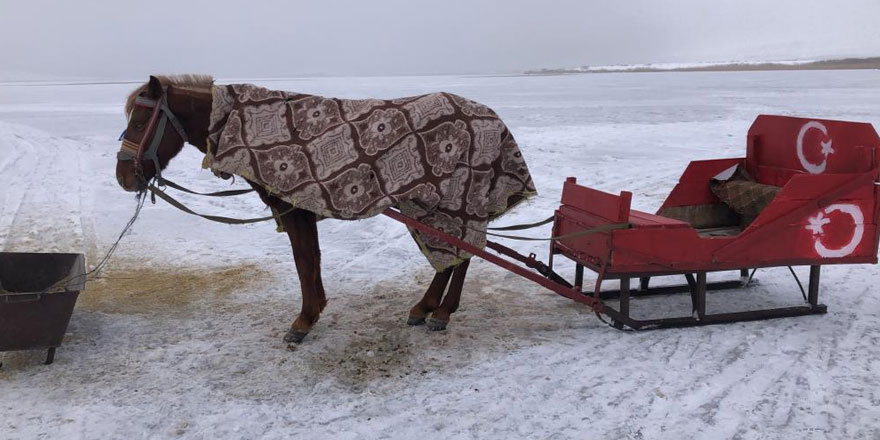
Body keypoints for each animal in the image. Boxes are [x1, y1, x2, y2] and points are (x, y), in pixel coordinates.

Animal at [113, 76, 532, 344]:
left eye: (140, 120)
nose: (124, 177)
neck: (238, 123)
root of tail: (493, 118)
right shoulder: (300, 211)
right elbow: (311, 260)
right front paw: (314, 311)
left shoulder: (295, 210)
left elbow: (303, 262)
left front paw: (304, 320)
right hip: (430, 206)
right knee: (453, 256)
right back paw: (427, 307)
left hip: (459, 199)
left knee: (462, 254)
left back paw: (441, 312)